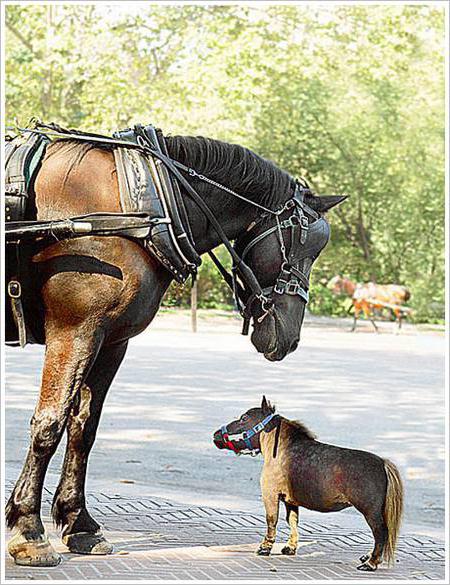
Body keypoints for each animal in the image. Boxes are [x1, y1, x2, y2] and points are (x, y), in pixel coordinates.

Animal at [4, 133, 344, 564]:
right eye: (303, 247)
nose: (289, 336)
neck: (139, 207)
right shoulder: (75, 330)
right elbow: (50, 424)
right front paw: (29, 528)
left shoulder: (110, 340)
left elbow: (83, 429)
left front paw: (78, 522)